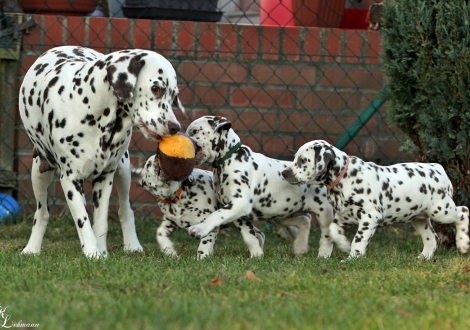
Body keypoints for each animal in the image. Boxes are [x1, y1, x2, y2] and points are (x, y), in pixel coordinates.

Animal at [18, 46, 184, 258]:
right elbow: (83, 221)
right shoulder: (70, 180)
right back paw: (32, 248)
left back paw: (132, 245)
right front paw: (92, 252)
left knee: (125, 210)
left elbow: (100, 223)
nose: (175, 127)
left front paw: (102, 253)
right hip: (38, 174)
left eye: (173, 95)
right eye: (156, 88)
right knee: (42, 213)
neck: (93, 107)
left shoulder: (105, 178)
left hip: (123, 170)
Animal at [137, 156, 268, 260]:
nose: (157, 157)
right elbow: (160, 233)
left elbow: (205, 242)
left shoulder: (206, 223)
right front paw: (169, 251)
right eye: (148, 164)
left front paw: (202, 258)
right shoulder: (171, 221)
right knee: (259, 234)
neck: (177, 195)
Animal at [184, 116, 334, 258]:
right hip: (282, 214)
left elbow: (216, 215)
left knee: (326, 237)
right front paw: (257, 255)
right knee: (305, 220)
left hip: (324, 213)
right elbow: (250, 237)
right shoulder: (239, 214)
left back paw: (323, 255)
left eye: (195, 131)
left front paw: (199, 229)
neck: (229, 159)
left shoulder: (239, 203)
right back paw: (300, 247)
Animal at [282, 138, 470, 260]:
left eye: (302, 160)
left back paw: (463, 244)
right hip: (418, 218)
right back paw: (424, 257)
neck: (345, 178)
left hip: (441, 211)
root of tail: (438, 168)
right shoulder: (342, 216)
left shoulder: (370, 216)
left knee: (463, 212)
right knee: (432, 238)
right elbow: (333, 231)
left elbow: (359, 239)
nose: (284, 173)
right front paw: (344, 245)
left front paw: (353, 258)